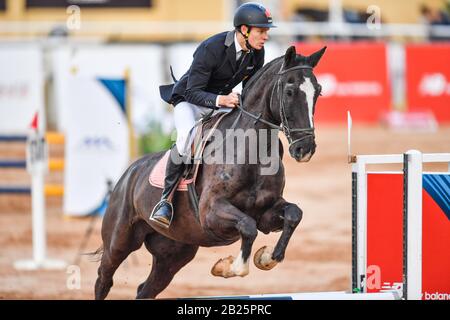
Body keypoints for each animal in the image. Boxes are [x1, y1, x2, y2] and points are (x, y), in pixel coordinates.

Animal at [93, 45, 326, 300]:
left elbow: (293, 214)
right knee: (104, 279)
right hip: (119, 241)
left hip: (173, 253)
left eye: (318, 92)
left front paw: (266, 258)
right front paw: (229, 267)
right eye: (290, 91)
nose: (305, 149)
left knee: (146, 289)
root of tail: (128, 174)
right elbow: (248, 227)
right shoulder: (211, 212)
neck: (251, 150)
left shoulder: (266, 213)